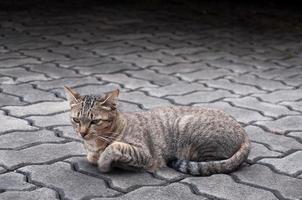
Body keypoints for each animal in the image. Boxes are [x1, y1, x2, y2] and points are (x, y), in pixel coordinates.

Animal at [64, 86, 250, 175]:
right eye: (76, 120)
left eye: (95, 121)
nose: (82, 133)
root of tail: (244, 133)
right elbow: (92, 157)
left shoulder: (144, 154)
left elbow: (115, 147)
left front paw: (104, 161)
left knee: (213, 163)